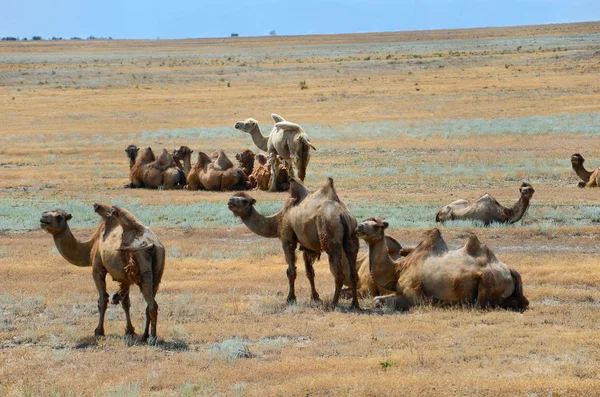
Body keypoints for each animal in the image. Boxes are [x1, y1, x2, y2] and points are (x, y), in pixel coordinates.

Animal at [41, 204, 165, 340]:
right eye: (46, 212)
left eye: (59, 216)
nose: (43, 218)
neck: (91, 246)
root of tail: (154, 245)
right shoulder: (125, 277)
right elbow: (125, 303)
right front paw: (129, 330)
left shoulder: (98, 269)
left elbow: (102, 302)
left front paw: (99, 331)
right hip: (157, 273)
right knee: (150, 302)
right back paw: (144, 335)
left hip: (143, 270)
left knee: (152, 304)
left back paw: (152, 338)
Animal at [229, 177, 360, 310]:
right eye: (234, 197)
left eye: (245, 201)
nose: (230, 201)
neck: (279, 220)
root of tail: (342, 214)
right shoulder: (306, 245)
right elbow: (310, 273)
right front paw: (315, 297)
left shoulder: (287, 239)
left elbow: (291, 272)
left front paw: (290, 299)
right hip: (352, 238)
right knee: (353, 271)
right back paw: (354, 304)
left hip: (331, 237)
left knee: (339, 273)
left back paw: (333, 304)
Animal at [356, 218, 528, 310]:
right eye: (363, 221)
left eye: (376, 226)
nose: (358, 226)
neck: (398, 268)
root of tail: (510, 271)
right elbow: (376, 299)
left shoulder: (414, 295)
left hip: (488, 279)